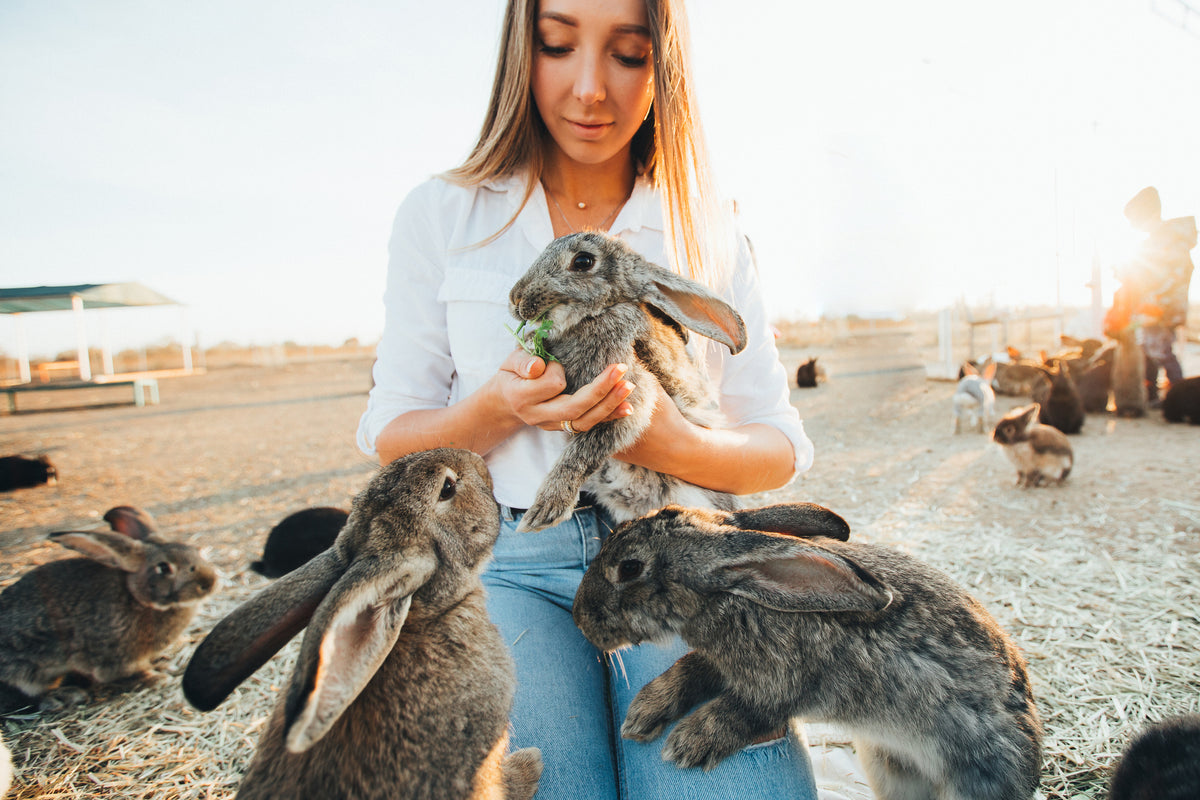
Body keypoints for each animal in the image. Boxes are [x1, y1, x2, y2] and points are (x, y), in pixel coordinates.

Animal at [0, 506, 218, 713]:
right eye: (163, 568)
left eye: (194, 550)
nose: (210, 582)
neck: (136, 597)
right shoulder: (114, 654)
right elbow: (125, 672)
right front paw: (155, 678)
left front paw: (163, 664)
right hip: (25, 667)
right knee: (25, 694)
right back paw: (63, 696)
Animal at [508, 231, 747, 532]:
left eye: (583, 261)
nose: (515, 298)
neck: (599, 314)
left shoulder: (627, 396)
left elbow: (583, 451)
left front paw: (544, 510)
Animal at [572, 502, 1043, 800]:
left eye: (630, 568)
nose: (579, 617)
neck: (737, 593)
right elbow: (690, 669)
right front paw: (645, 712)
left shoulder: (783, 687)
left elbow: (745, 711)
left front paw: (689, 743)